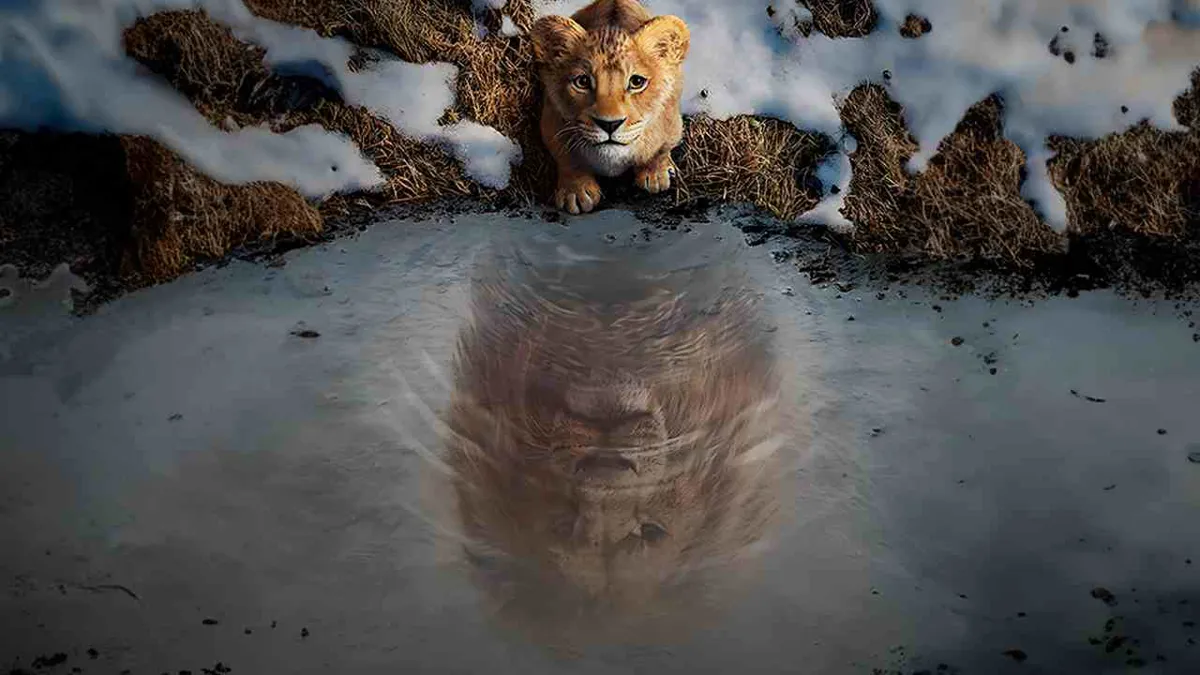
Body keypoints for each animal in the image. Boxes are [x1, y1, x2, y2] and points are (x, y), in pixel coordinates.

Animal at [530, 0, 690, 214]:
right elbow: (566, 158)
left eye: (637, 82)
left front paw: (656, 174)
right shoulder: (551, 121)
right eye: (582, 82)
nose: (609, 124)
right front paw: (576, 191)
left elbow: (661, 149)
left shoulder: (672, 122)